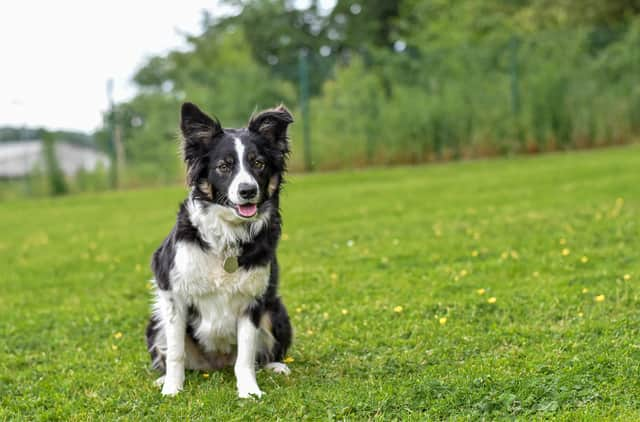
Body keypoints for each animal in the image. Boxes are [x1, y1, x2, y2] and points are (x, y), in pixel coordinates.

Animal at [146, 101, 294, 396]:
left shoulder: (253, 300)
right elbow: (176, 353)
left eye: (258, 163)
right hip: (155, 321)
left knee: (260, 356)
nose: (248, 190)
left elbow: (246, 355)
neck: (228, 234)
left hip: (276, 309)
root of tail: (215, 365)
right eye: (224, 166)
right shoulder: (172, 292)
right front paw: (172, 389)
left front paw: (249, 391)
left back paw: (275, 366)